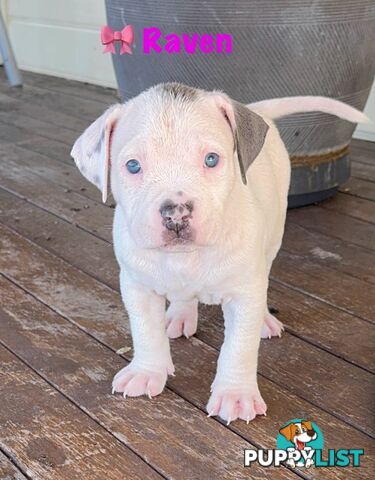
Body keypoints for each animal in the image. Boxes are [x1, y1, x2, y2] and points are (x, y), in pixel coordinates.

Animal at [72, 85, 368, 424]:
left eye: (211, 159)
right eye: (133, 166)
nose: (176, 213)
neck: (187, 258)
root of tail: (257, 111)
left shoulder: (244, 294)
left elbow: (239, 347)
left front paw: (235, 394)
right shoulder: (136, 285)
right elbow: (145, 330)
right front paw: (146, 372)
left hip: (274, 234)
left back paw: (264, 320)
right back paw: (180, 314)